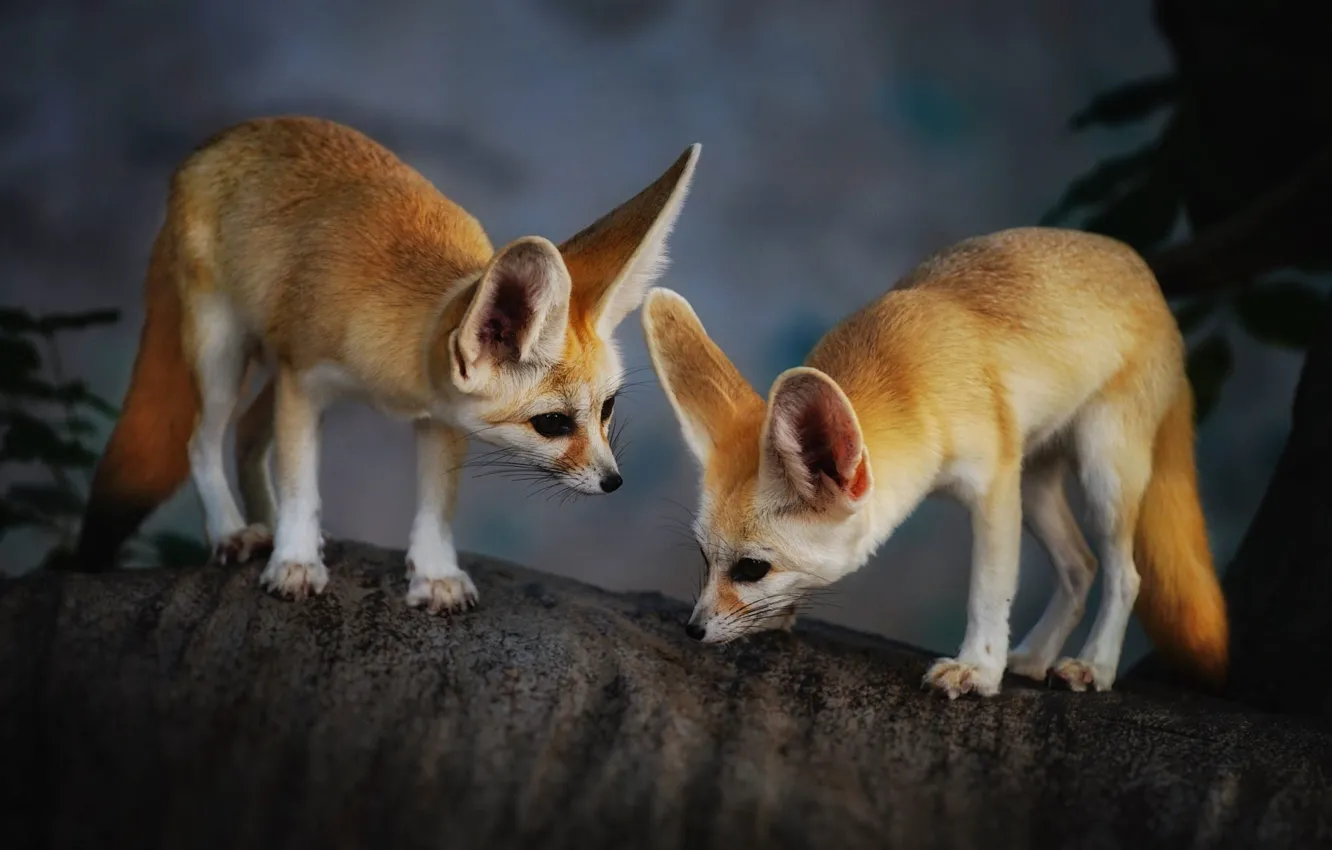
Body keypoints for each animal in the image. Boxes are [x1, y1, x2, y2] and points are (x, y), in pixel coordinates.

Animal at [76, 116, 700, 613]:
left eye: (608, 409)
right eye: (552, 423)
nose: (614, 481)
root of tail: (220, 138)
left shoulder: (440, 420)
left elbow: (435, 507)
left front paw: (435, 574)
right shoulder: (304, 382)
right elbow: (301, 482)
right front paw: (295, 560)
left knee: (248, 434)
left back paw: (265, 523)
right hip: (222, 355)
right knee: (201, 440)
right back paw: (233, 531)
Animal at [642, 226, 1228, 698]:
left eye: (751, 569)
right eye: (705, 558)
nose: (693, 629)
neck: (906, 377)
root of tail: (1143, 272)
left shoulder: (994, 485)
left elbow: (989, 591)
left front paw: (979, 669)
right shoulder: (1005, 477)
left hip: (1103, 471)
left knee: (1126, 575)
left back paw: (1095, 665)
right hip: (1036, 483)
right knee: (1080, 567)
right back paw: (1034, 658)